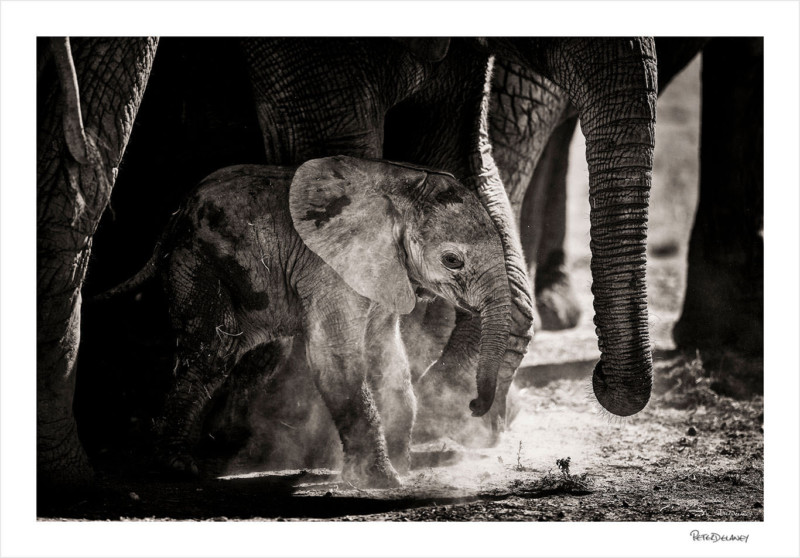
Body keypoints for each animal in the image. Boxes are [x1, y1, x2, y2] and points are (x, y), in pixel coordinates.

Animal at [104, 158, 512, 490]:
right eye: (452, 260)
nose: (475, 406)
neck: (400, 187)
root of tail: (174, 216)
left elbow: (390, 357)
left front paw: (401, 467)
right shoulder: (331, 269)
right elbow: (336, 358)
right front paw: (382, 481)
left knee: (262, 355)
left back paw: (224, 445)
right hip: (198, 262)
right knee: (214, 353)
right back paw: (178, 466)